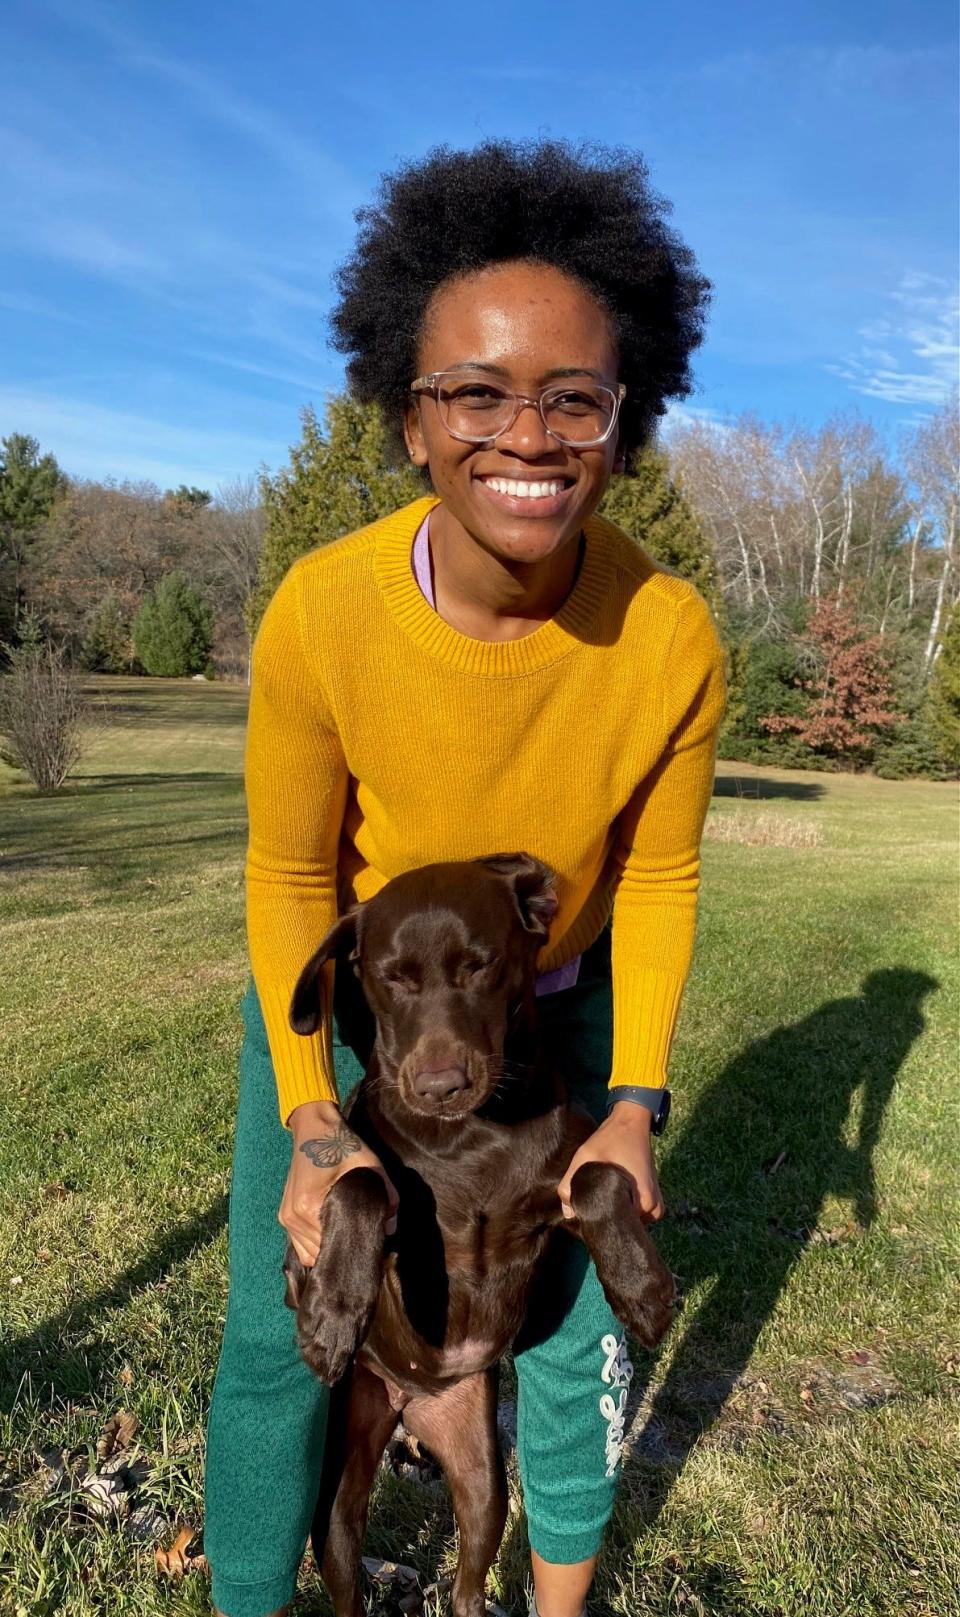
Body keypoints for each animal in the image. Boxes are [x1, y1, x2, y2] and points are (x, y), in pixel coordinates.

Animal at [284, 853, 672, 1610]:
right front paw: (332, 1315)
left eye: (480, 965)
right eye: (391, 977)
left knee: (466, 1579)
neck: (472, 1138)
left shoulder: (567, 1167)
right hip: (339, 1486)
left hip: (482, 1472)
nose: (441, 1086)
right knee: (345, 1579)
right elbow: (358, 1183)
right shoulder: (372, 1184)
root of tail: (413, 1406)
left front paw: (641, 1288)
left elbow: (599, 1173)